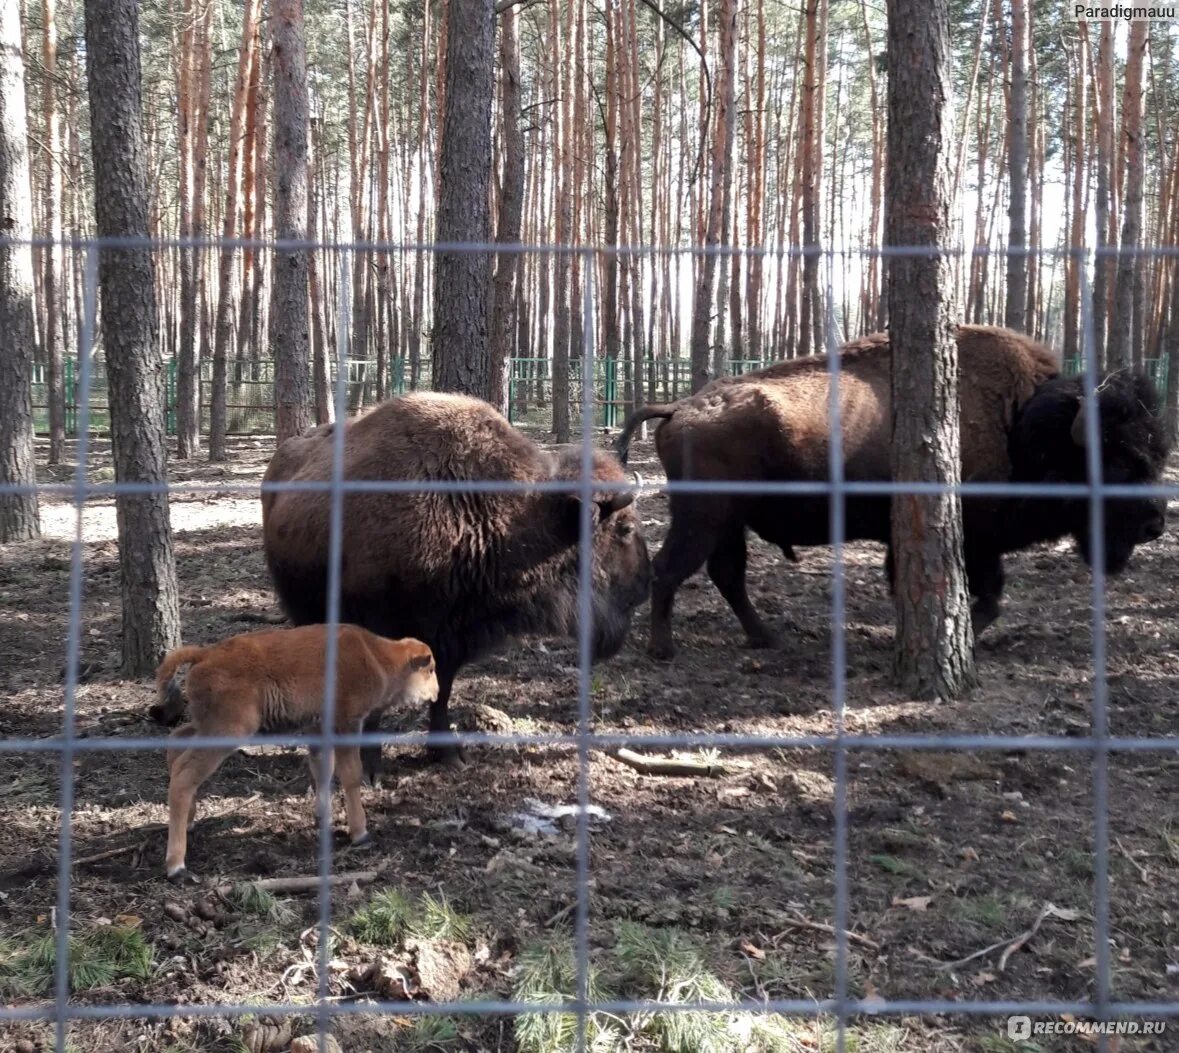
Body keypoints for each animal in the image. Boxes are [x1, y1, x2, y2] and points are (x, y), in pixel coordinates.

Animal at [154, 622, 436, 877]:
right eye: (430, 669)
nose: (436, 692)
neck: (377, 655)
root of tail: (205, 653)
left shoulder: (318, 728)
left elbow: (323, 769)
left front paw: (324, 818)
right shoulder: (347, 724)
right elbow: (351, 775)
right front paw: (360, 833)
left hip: (206, 726)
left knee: (176, 744)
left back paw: (190, 821)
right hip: (228, 730)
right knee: (184, 775)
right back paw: (176, 866)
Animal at [260, 391, 655, 768]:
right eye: (625, 528)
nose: (644, 587)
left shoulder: (450, 633)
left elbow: (443, 690)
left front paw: (449, 755)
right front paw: (370, 765)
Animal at [617, 327, 1169, 655]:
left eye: (1155, 452)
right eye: (1121, 459)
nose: (1155, 523)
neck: (1019, 425)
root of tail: (679, 407)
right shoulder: (974, 539)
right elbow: (985, 596)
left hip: (728, 521)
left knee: (724, 574)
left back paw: (766, 638)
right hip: (705, 517)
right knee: (671, 569)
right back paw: (664, 649)